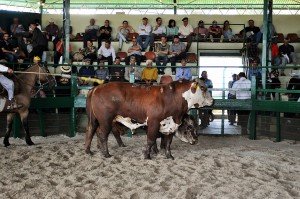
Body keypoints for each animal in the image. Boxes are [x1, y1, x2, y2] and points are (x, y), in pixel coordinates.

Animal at [85, 80, 213, 159]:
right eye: (202, 88)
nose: (212, 100)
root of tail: (96, 88)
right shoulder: (153, 123)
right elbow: (151, 140)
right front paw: (147, 155)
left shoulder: (171, 125)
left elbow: (168, 142)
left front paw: (169, 156)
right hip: (105, 120)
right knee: (102, 135)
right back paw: (106, 153)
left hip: (95, 119)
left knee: (91, 131)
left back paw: (88, 151)